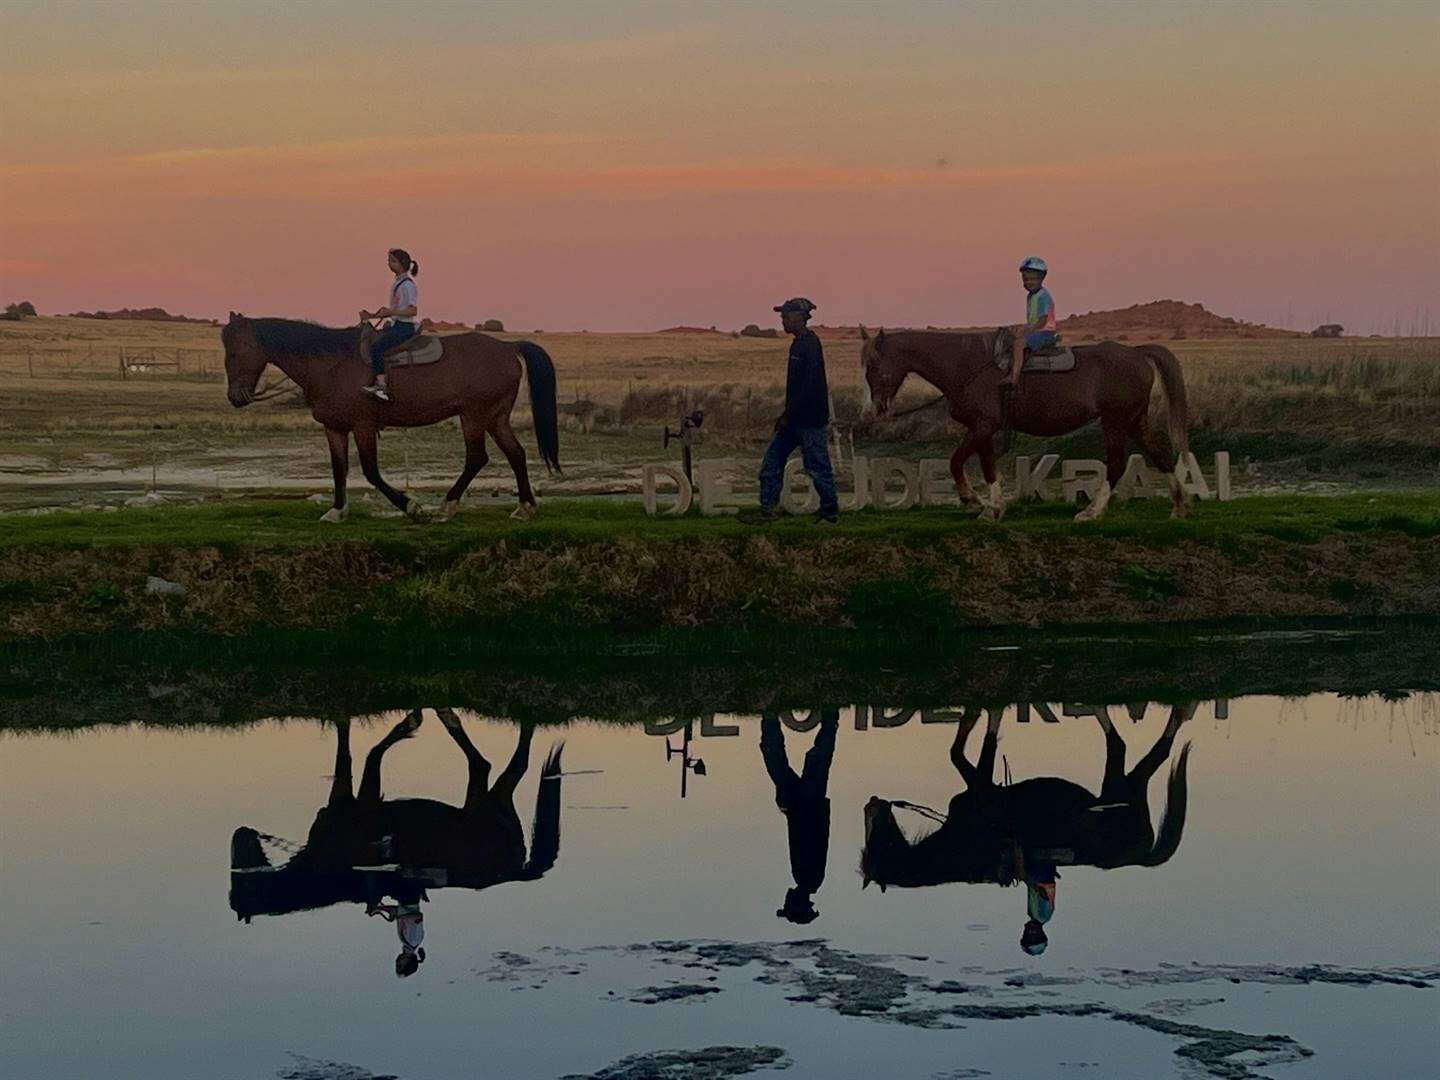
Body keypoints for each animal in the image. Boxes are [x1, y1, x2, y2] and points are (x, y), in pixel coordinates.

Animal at [218, 312, 555, 524]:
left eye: (234, 353)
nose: (235, 397)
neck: (330, 364)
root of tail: (508, 347)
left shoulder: (363, 426)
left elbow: (370, 472)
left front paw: (412, 507)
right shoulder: (334, 428)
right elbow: (338, 470)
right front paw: (337, 511)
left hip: (473, 416)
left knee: (476, 458)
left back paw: (446, 507)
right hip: (495, 417)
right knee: (516, 453)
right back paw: (525, 508)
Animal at [858, 328, 1186, 521]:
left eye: (872, 365)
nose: (873, 409)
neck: (967, 365)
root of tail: (1137, 352)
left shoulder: (982, 426)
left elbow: (956, 462)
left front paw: (973, 501)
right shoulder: (983, 430)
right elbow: (988, 468)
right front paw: (993, 508)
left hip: (1115, 422)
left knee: (1116, 464)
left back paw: (1092, 512)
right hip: (1134, 420)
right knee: (1161, 456)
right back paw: (1179, 506)